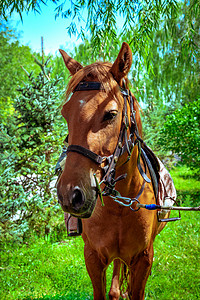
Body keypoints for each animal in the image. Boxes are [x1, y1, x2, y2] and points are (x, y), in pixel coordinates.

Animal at [56, 42, 169, 300]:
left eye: (111, 114)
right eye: (66, 114)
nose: (69, 194)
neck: (120, 206)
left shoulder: (144, 259)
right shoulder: (93, 257)